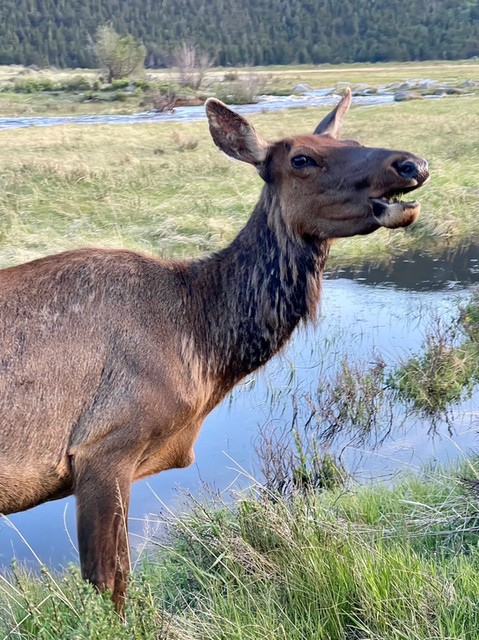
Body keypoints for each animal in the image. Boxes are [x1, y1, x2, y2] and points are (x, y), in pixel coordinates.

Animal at [0, 89, 429, 614]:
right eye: (301, 159)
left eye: (353, 141)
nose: (411, 164)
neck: (201, 343)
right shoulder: (103, 449)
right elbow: (110, 587)